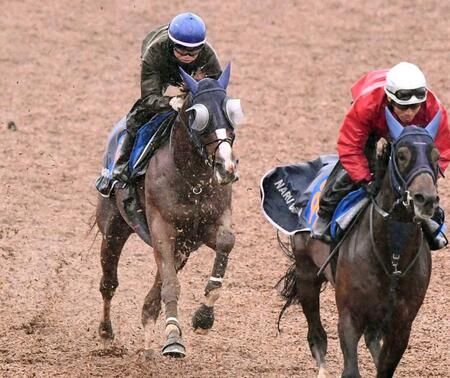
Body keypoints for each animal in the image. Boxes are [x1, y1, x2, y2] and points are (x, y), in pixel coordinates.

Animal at [94, 64, 243, 358]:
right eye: (199, 116)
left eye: (229, 111)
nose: (227, 168)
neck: (192, 180)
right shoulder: (162, 229)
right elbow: (171, 284)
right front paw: (174, 337)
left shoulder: (202, 230)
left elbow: (226, 241)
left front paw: (203, 318)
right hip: (114, 228)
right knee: (109, 283)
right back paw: (106, 333)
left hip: (181, 250)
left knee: (151, 298)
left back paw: (148, 344)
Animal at [278, 108, 442, 376]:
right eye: (402, 155)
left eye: (436, 156)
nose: (425, 199)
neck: (392, 258)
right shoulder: (349, 316)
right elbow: (350, 369)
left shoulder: (401, 325)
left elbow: (385, 368)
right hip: (307, 274)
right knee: (316, 335)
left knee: (371, 338)